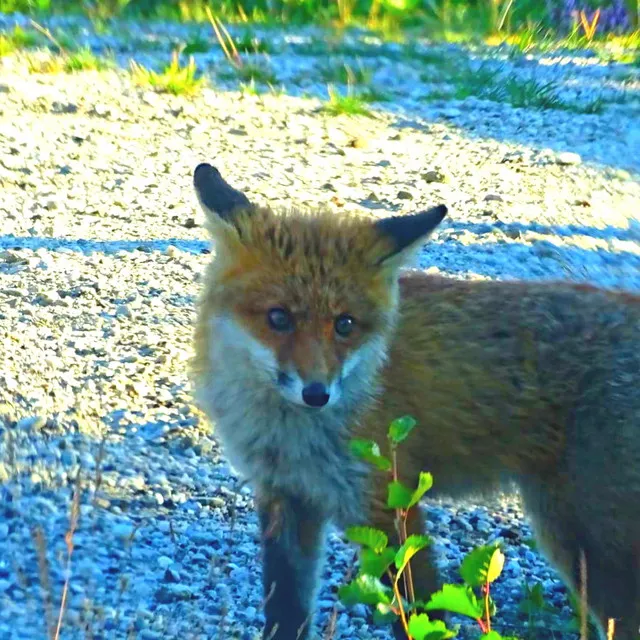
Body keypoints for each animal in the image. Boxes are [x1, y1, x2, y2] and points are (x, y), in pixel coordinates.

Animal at [190, 161, 640, 640]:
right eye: (278, 318)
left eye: (345, 324)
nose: (317, 394)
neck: (290, 436)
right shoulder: (286, 499)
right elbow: (285, 614)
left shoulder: (390, 504)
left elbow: (422, 614)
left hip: (589, 545)